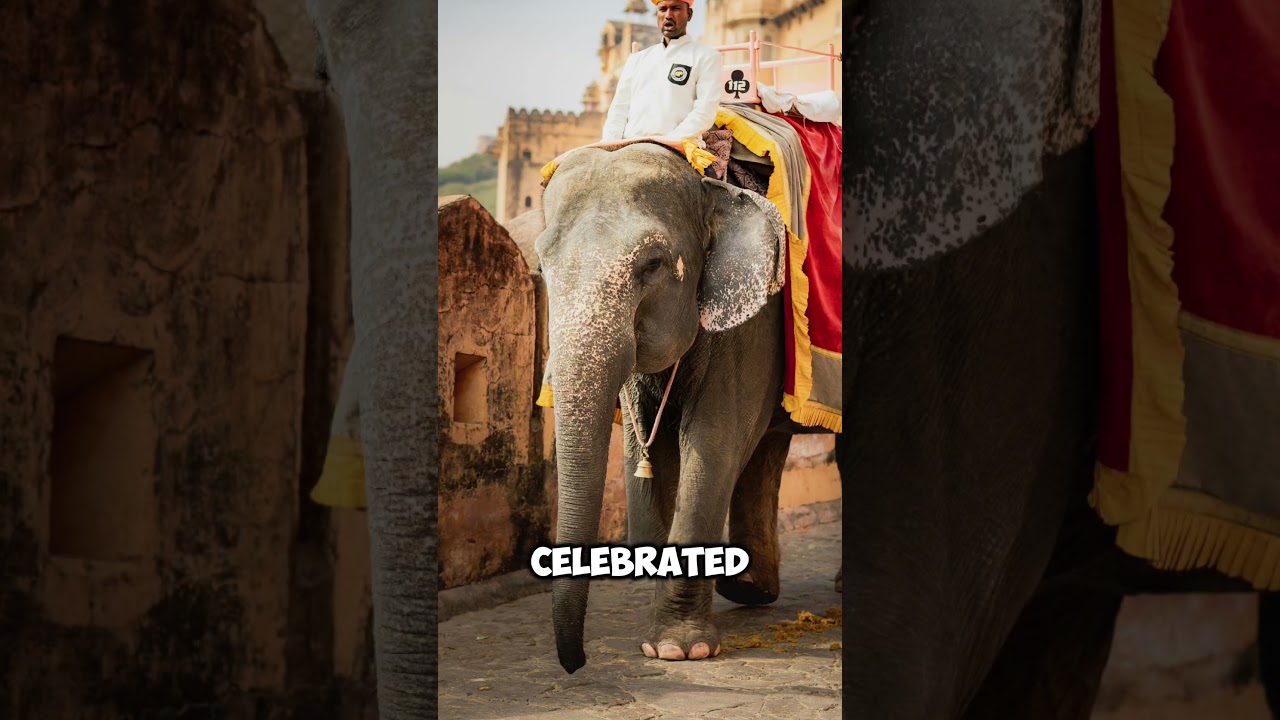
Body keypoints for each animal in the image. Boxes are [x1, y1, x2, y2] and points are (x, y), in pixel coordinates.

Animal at [521, 141, 834, 673]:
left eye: (651, 265)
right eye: (541, 268)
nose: (576, 662)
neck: (708, 185)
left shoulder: (751, 322)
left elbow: (711, 446)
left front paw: (679, 649)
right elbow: (646, 458)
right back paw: (749, 591)